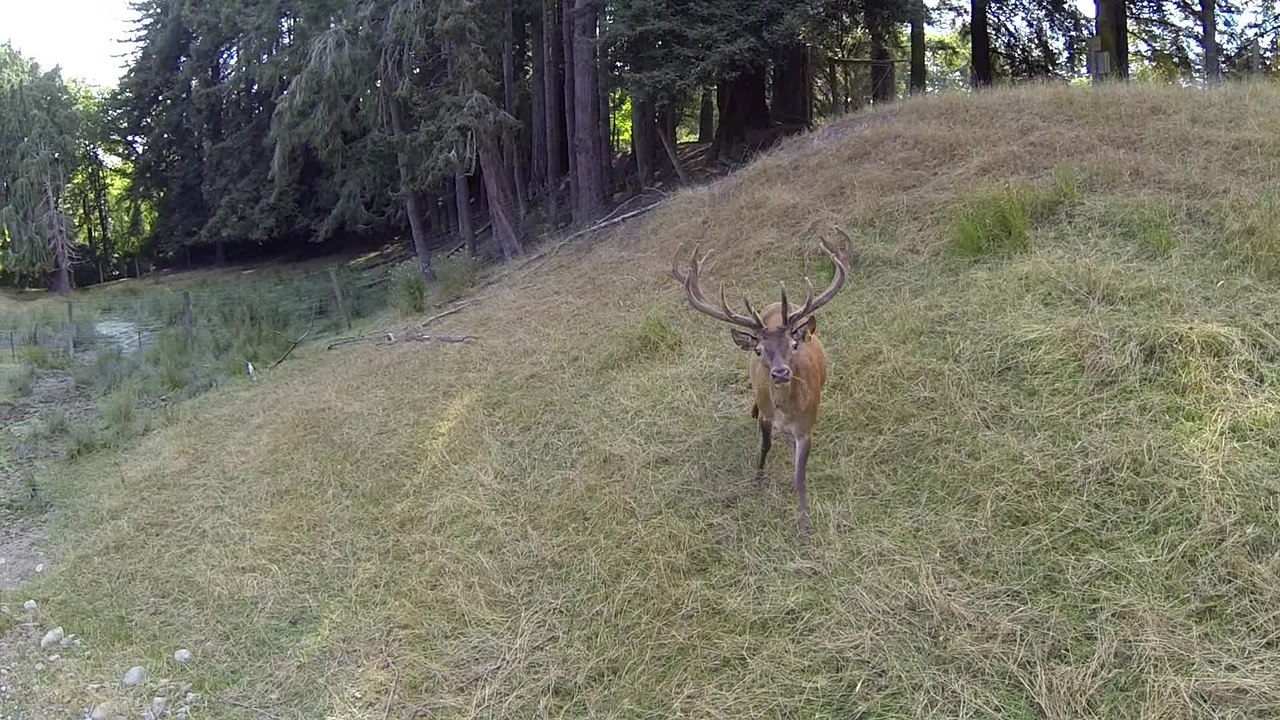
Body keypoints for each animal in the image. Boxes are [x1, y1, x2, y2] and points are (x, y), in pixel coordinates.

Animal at [672, 230, 852, 535]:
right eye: (759, 350)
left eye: (794, 345)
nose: (779, 373)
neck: (785, 411)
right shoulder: (768, 416)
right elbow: (764, 446)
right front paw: (757, 481)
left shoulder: (806, 426)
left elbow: (800, 475)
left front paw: (804, 522)